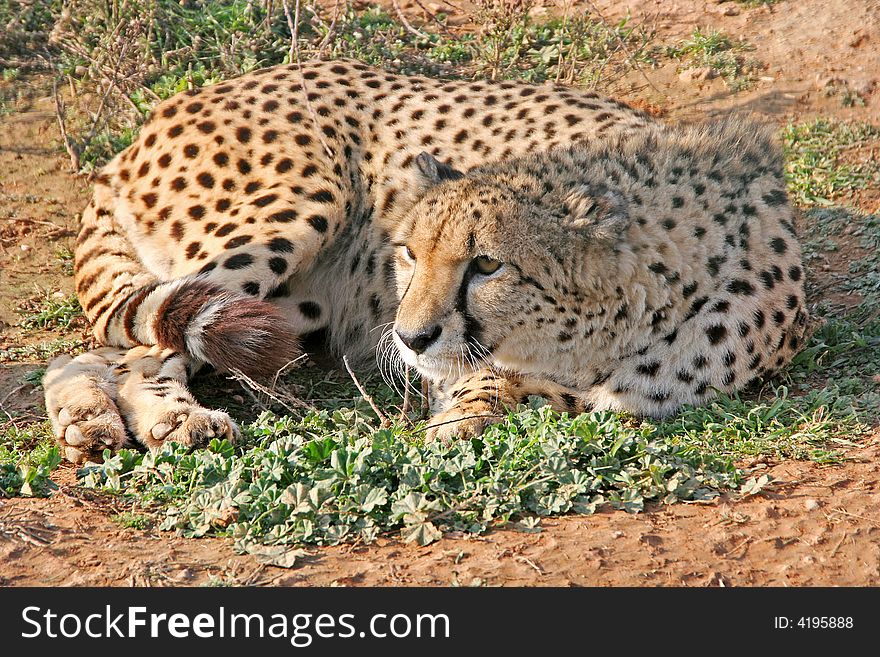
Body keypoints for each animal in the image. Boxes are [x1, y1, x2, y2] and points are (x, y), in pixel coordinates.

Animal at [44, 59, 656, 462]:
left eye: (484, 266)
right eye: (413, 252)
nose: (413, 336)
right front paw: (460, 421)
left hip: (287, 312)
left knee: (97, 352)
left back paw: (87, 421)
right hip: (303, 202)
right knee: (134, 353)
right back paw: (174, 420)